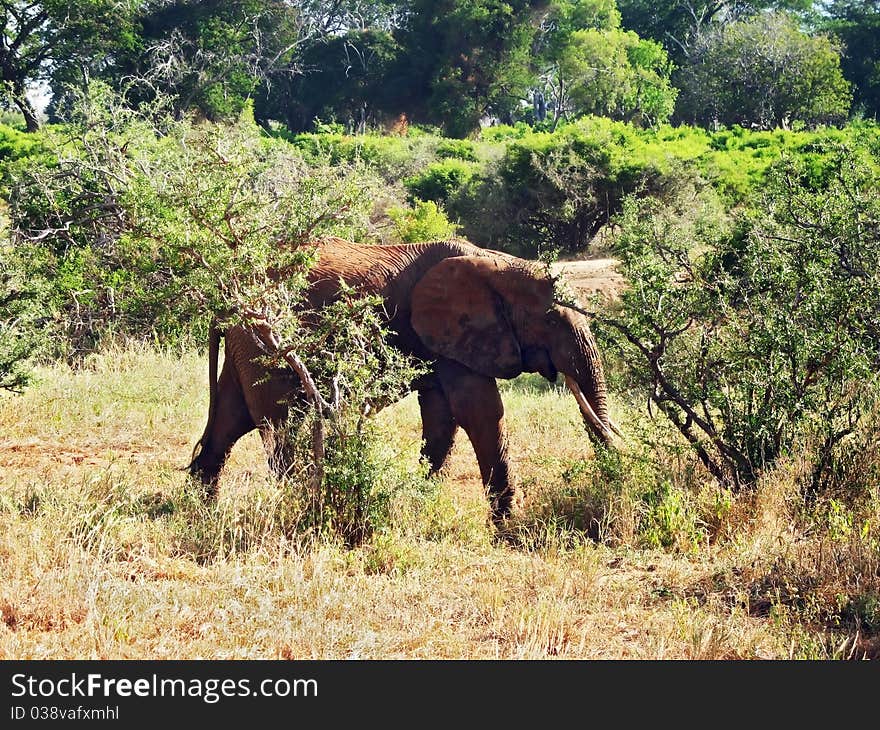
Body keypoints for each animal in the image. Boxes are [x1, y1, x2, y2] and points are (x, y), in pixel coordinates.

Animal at [189, 237, 616, 524]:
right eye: (551, 320)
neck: (499, 264)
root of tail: (224, 299)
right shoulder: (454, 332)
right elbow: (479, 411)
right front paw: (508, 527)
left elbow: (443, 416)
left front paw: (421, 504)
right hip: (265, 340)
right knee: (281, 425)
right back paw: (301, 510)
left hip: (246, 344)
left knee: (230, 420)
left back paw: (199, 512)